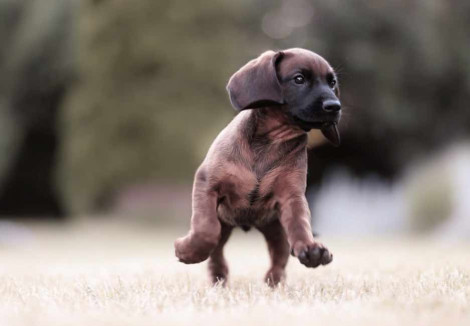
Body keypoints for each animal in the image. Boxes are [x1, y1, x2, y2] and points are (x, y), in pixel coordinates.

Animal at [174, 47, 340, 286]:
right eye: (299, 79)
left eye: (332, 82)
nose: (335, 106)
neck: (272, 140)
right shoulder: (207, 184)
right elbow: (206, 229)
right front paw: (187, 251)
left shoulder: (292, 196)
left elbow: (299, 223)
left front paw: (311, 249)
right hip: (225, 223)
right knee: (216, 250)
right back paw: (218, 277)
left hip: (276, 230)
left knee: (279, 258)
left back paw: (274, 280)